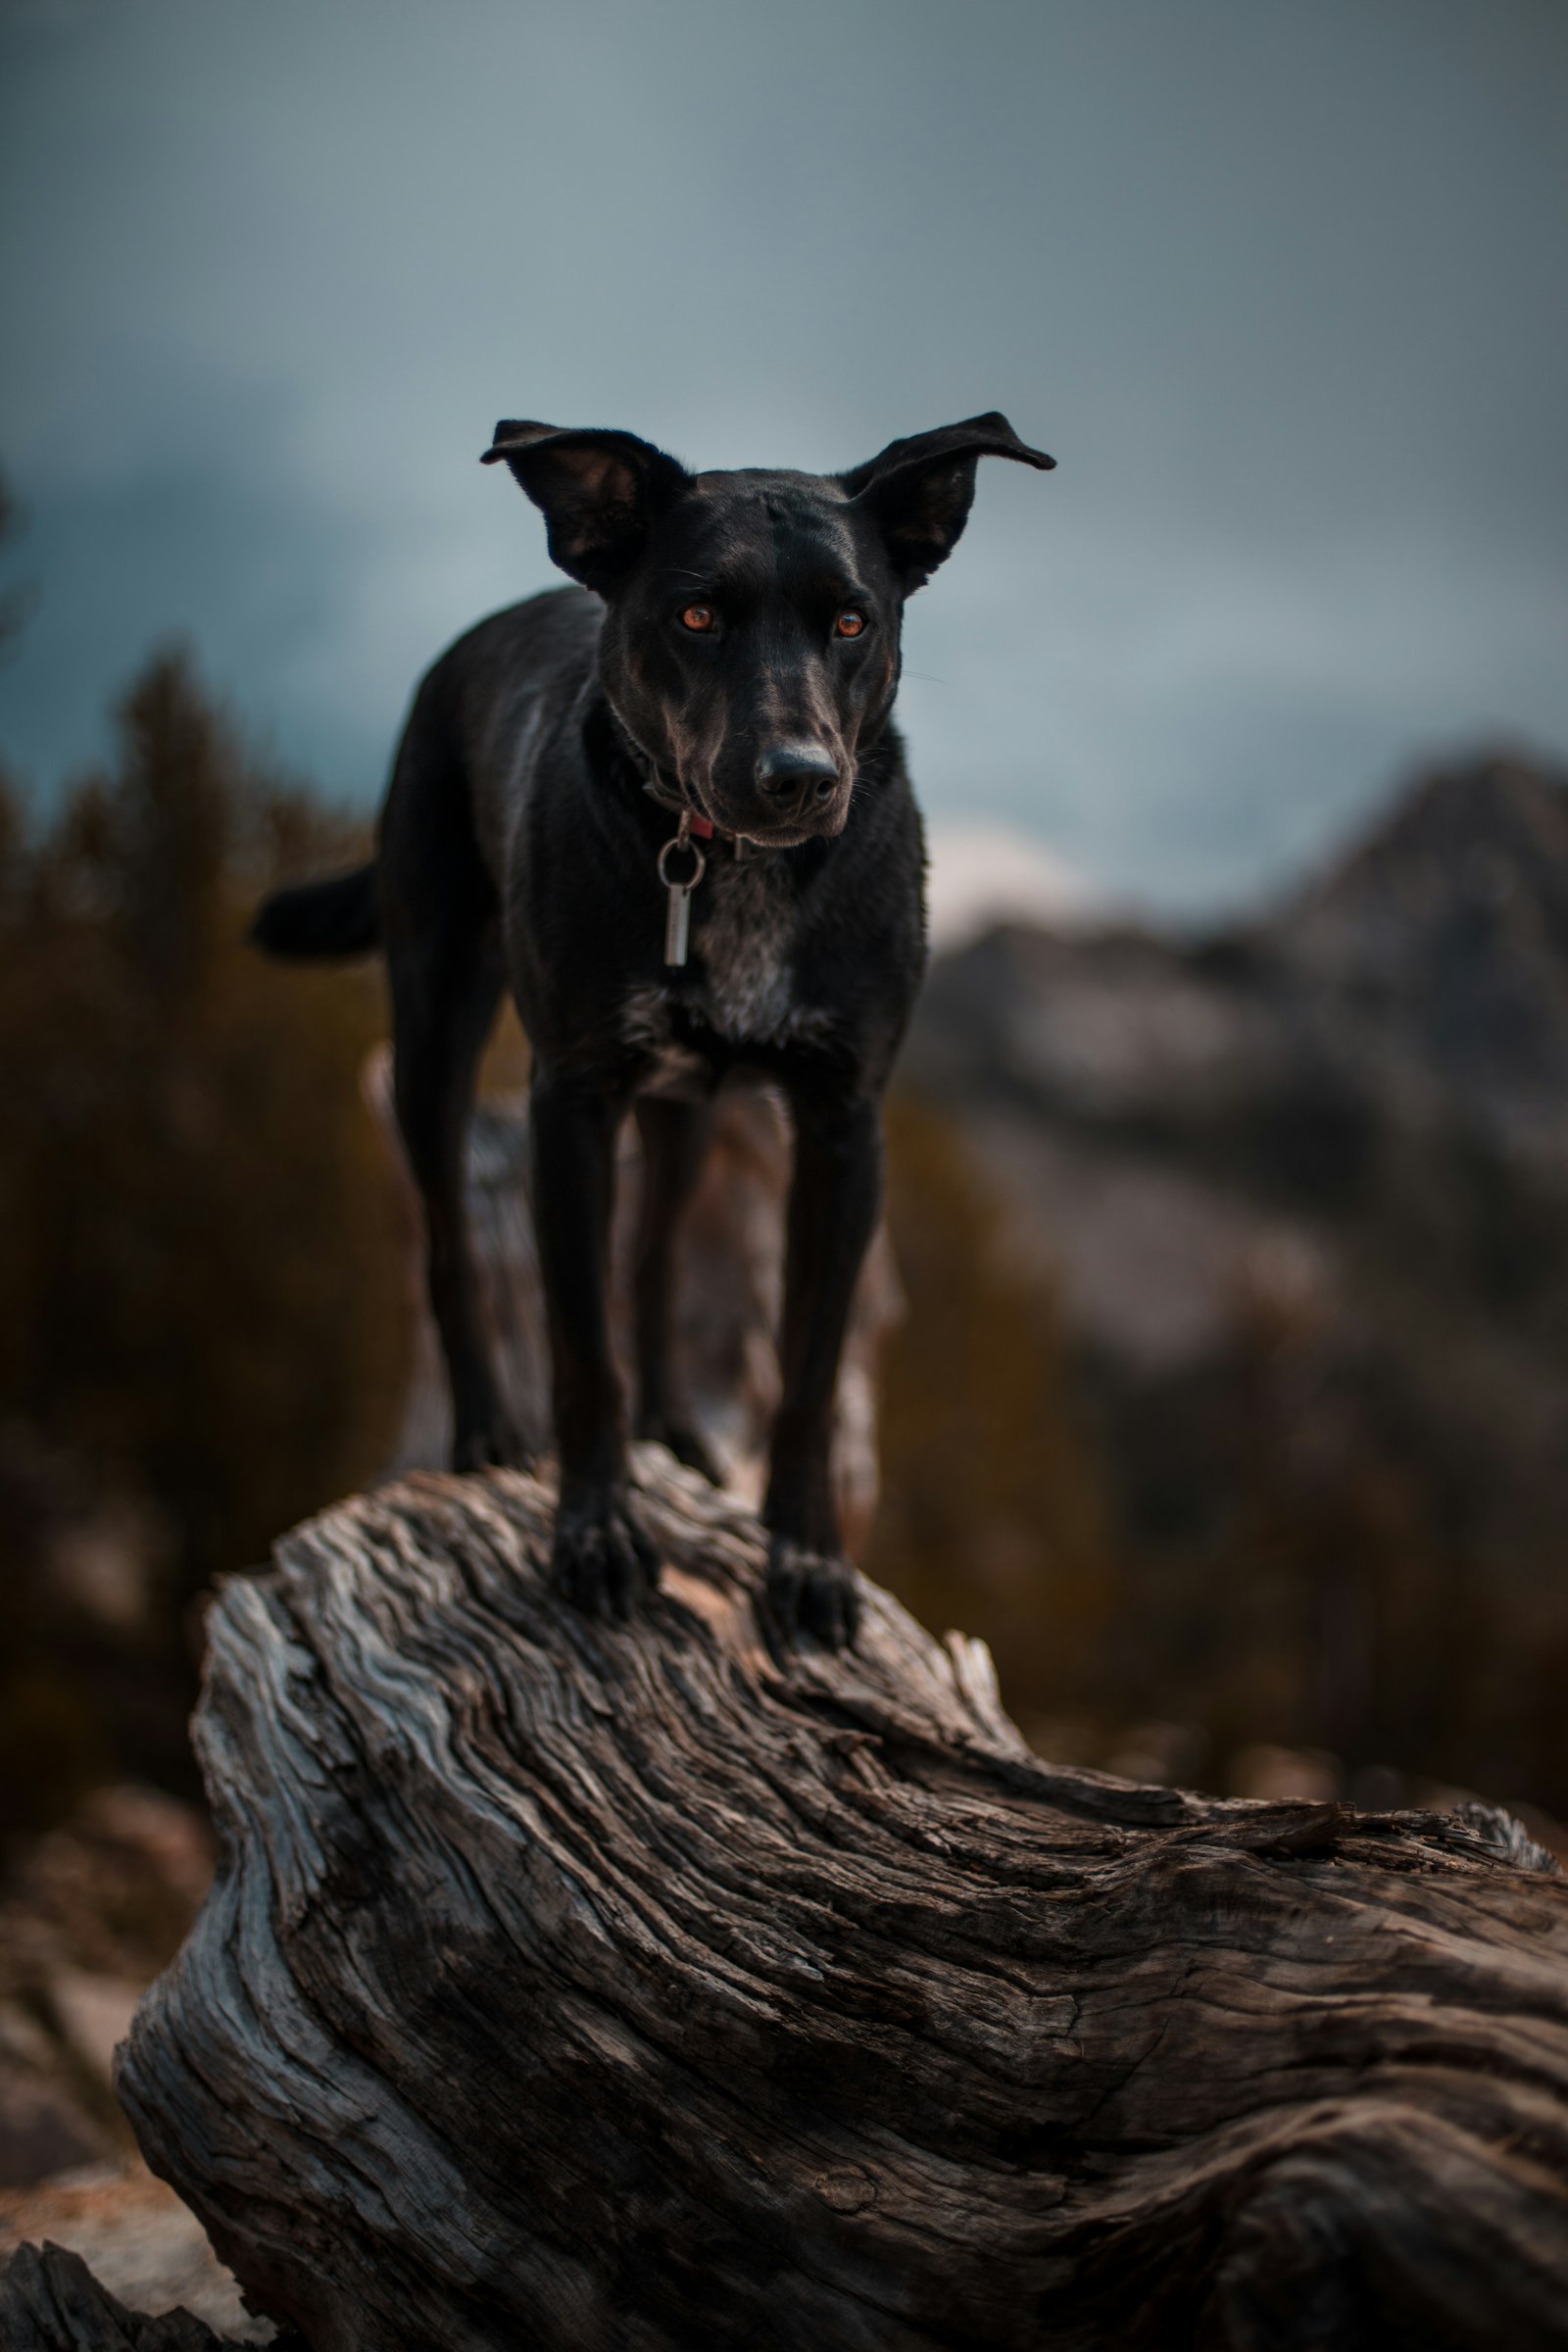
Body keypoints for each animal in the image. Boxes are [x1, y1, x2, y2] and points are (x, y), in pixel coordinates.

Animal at [257, 414, 1053, 1646]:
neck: (730, 869)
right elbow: (582, 1350)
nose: (799, 778)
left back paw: (672, 1422)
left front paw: (807, 1561)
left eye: (852, 620)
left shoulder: (843, 1127)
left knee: (660, 1249)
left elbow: (807, 1374)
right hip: (436, 1019)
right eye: (695, 617)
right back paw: (483, 1432)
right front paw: (594, 1536)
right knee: (448, 1244)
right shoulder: (571, 1102)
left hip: (684, 1109)